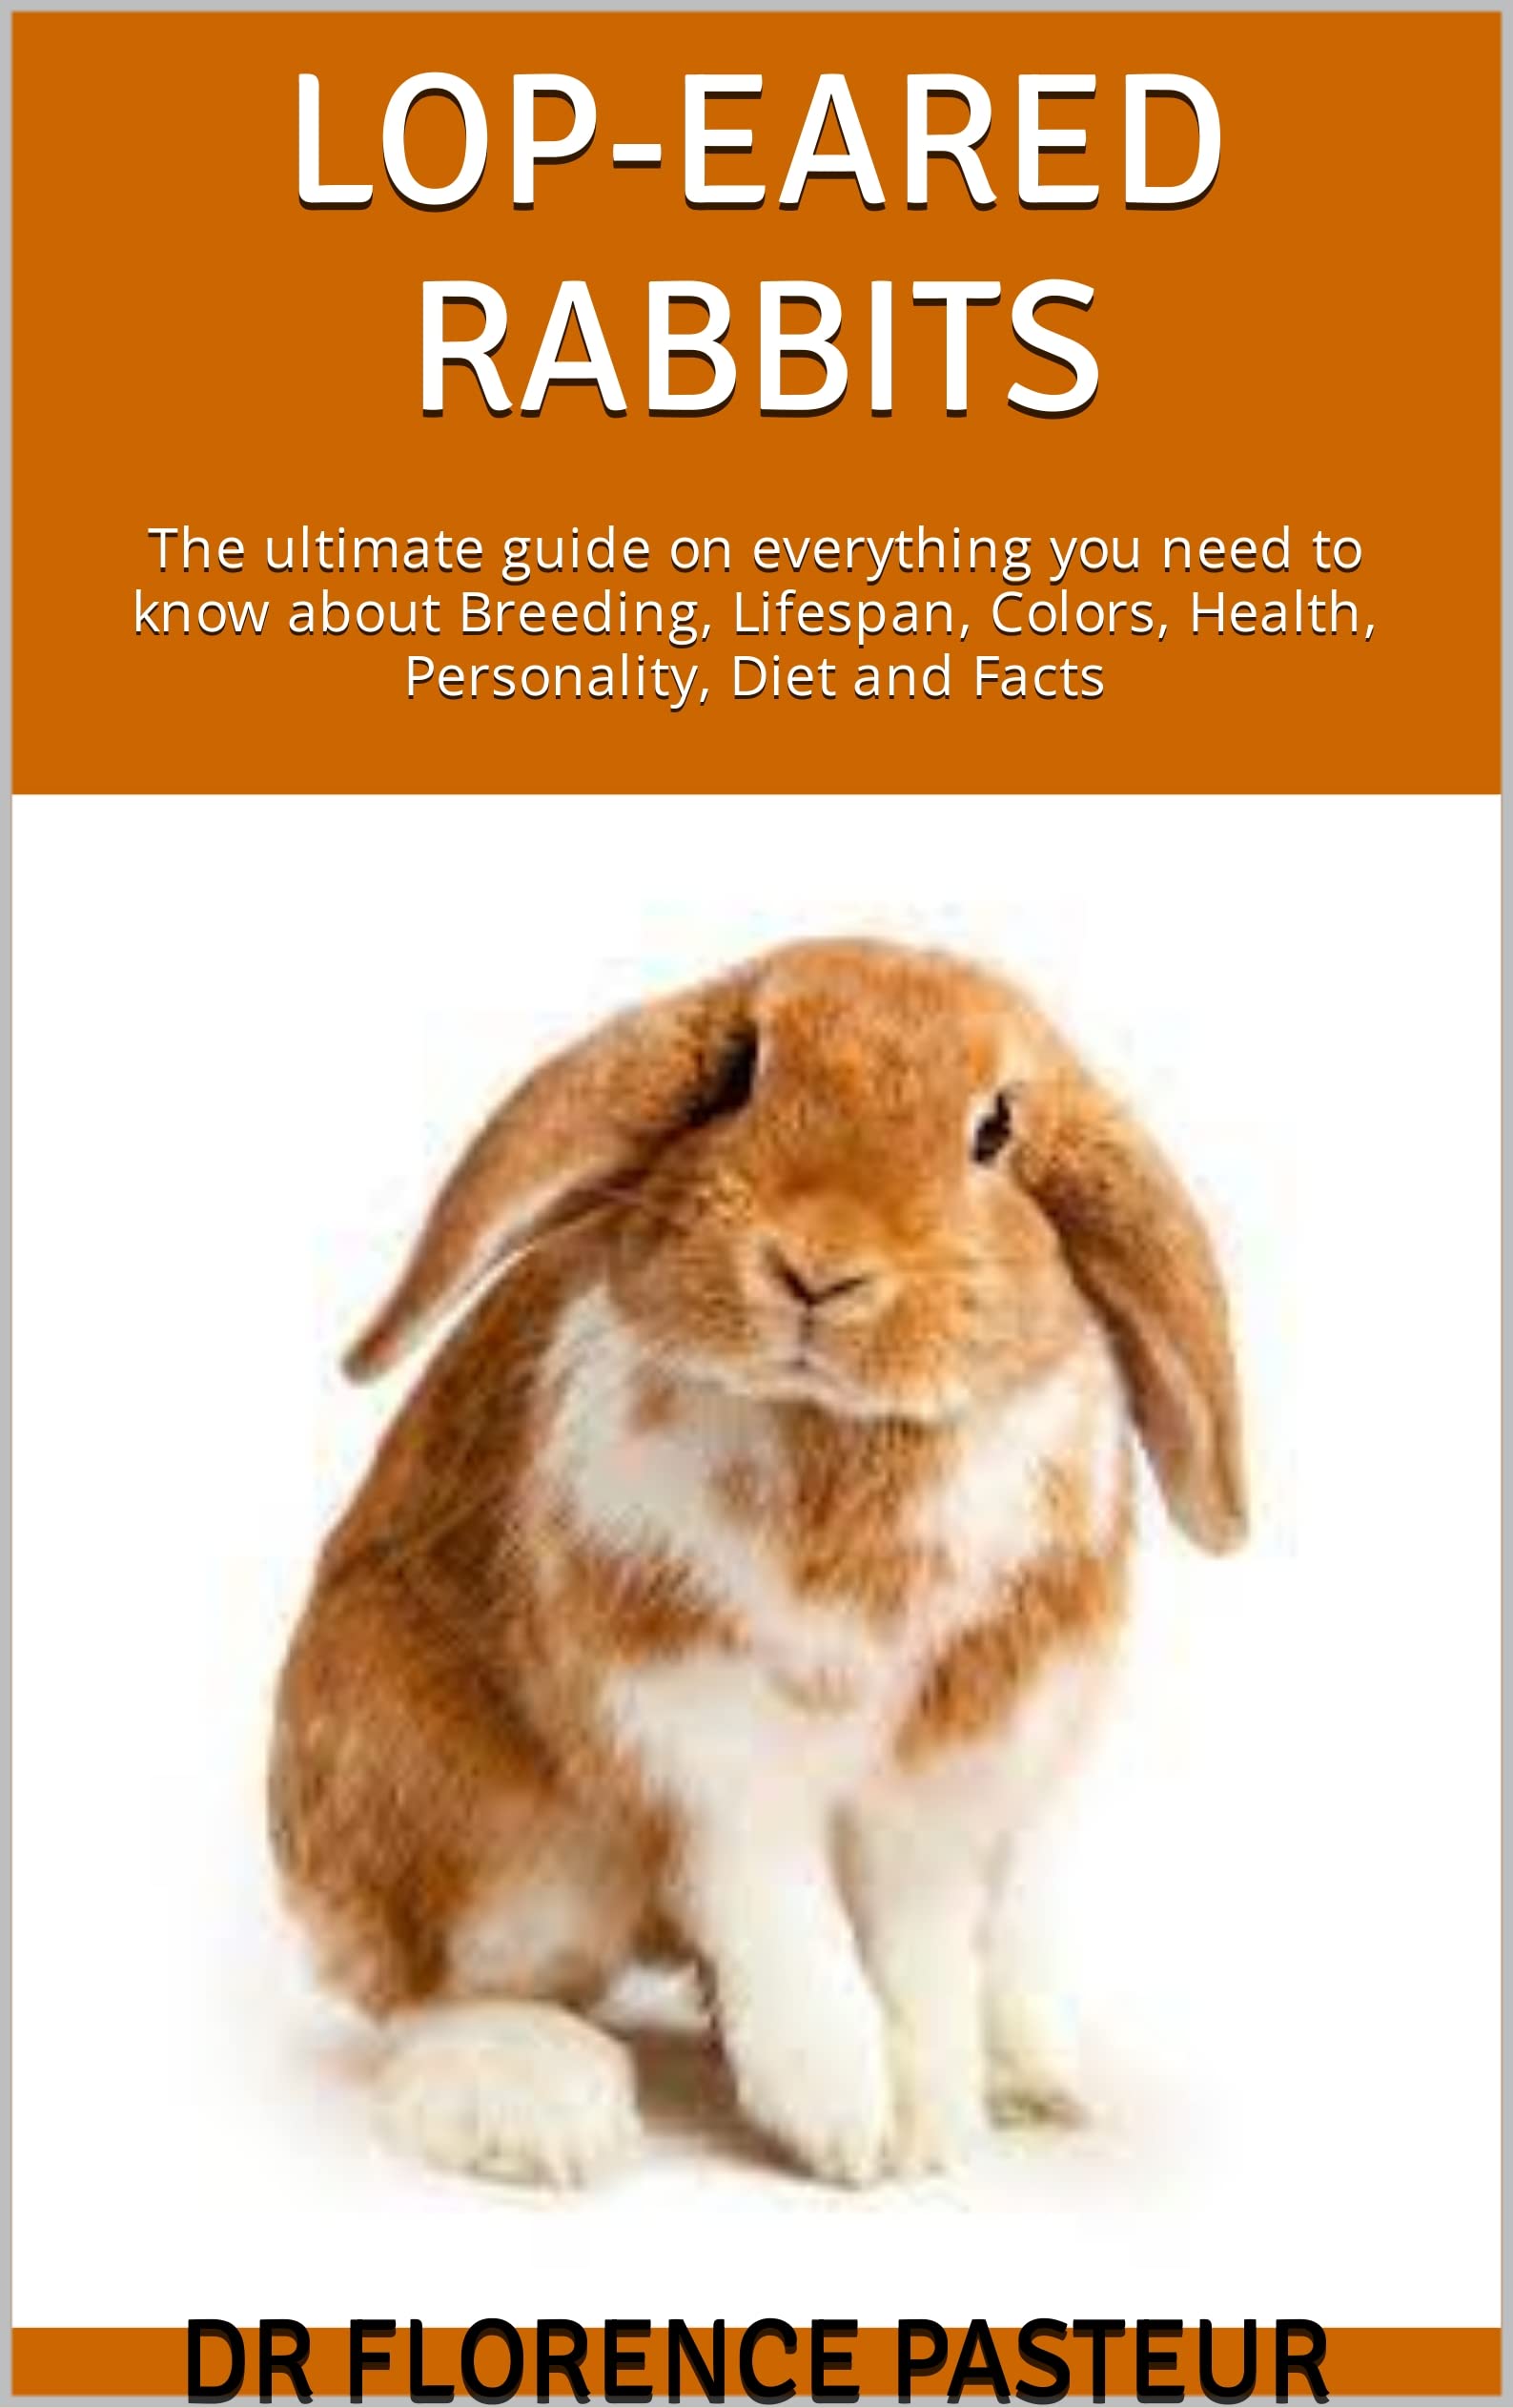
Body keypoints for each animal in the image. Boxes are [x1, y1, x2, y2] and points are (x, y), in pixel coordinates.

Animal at [269, 937, 1244, 2188]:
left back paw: (1029, 2069)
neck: (839, 1432)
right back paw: (532, 2098)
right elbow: (782, 1917)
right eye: (739, 1072)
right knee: (431, 1987)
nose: (818, 1265)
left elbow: (918, 1950)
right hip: (481, 1822)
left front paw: (922, 2121)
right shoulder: (706, 1748)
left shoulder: (952, 1777)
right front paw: (848, 2115)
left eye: (994, 1130)